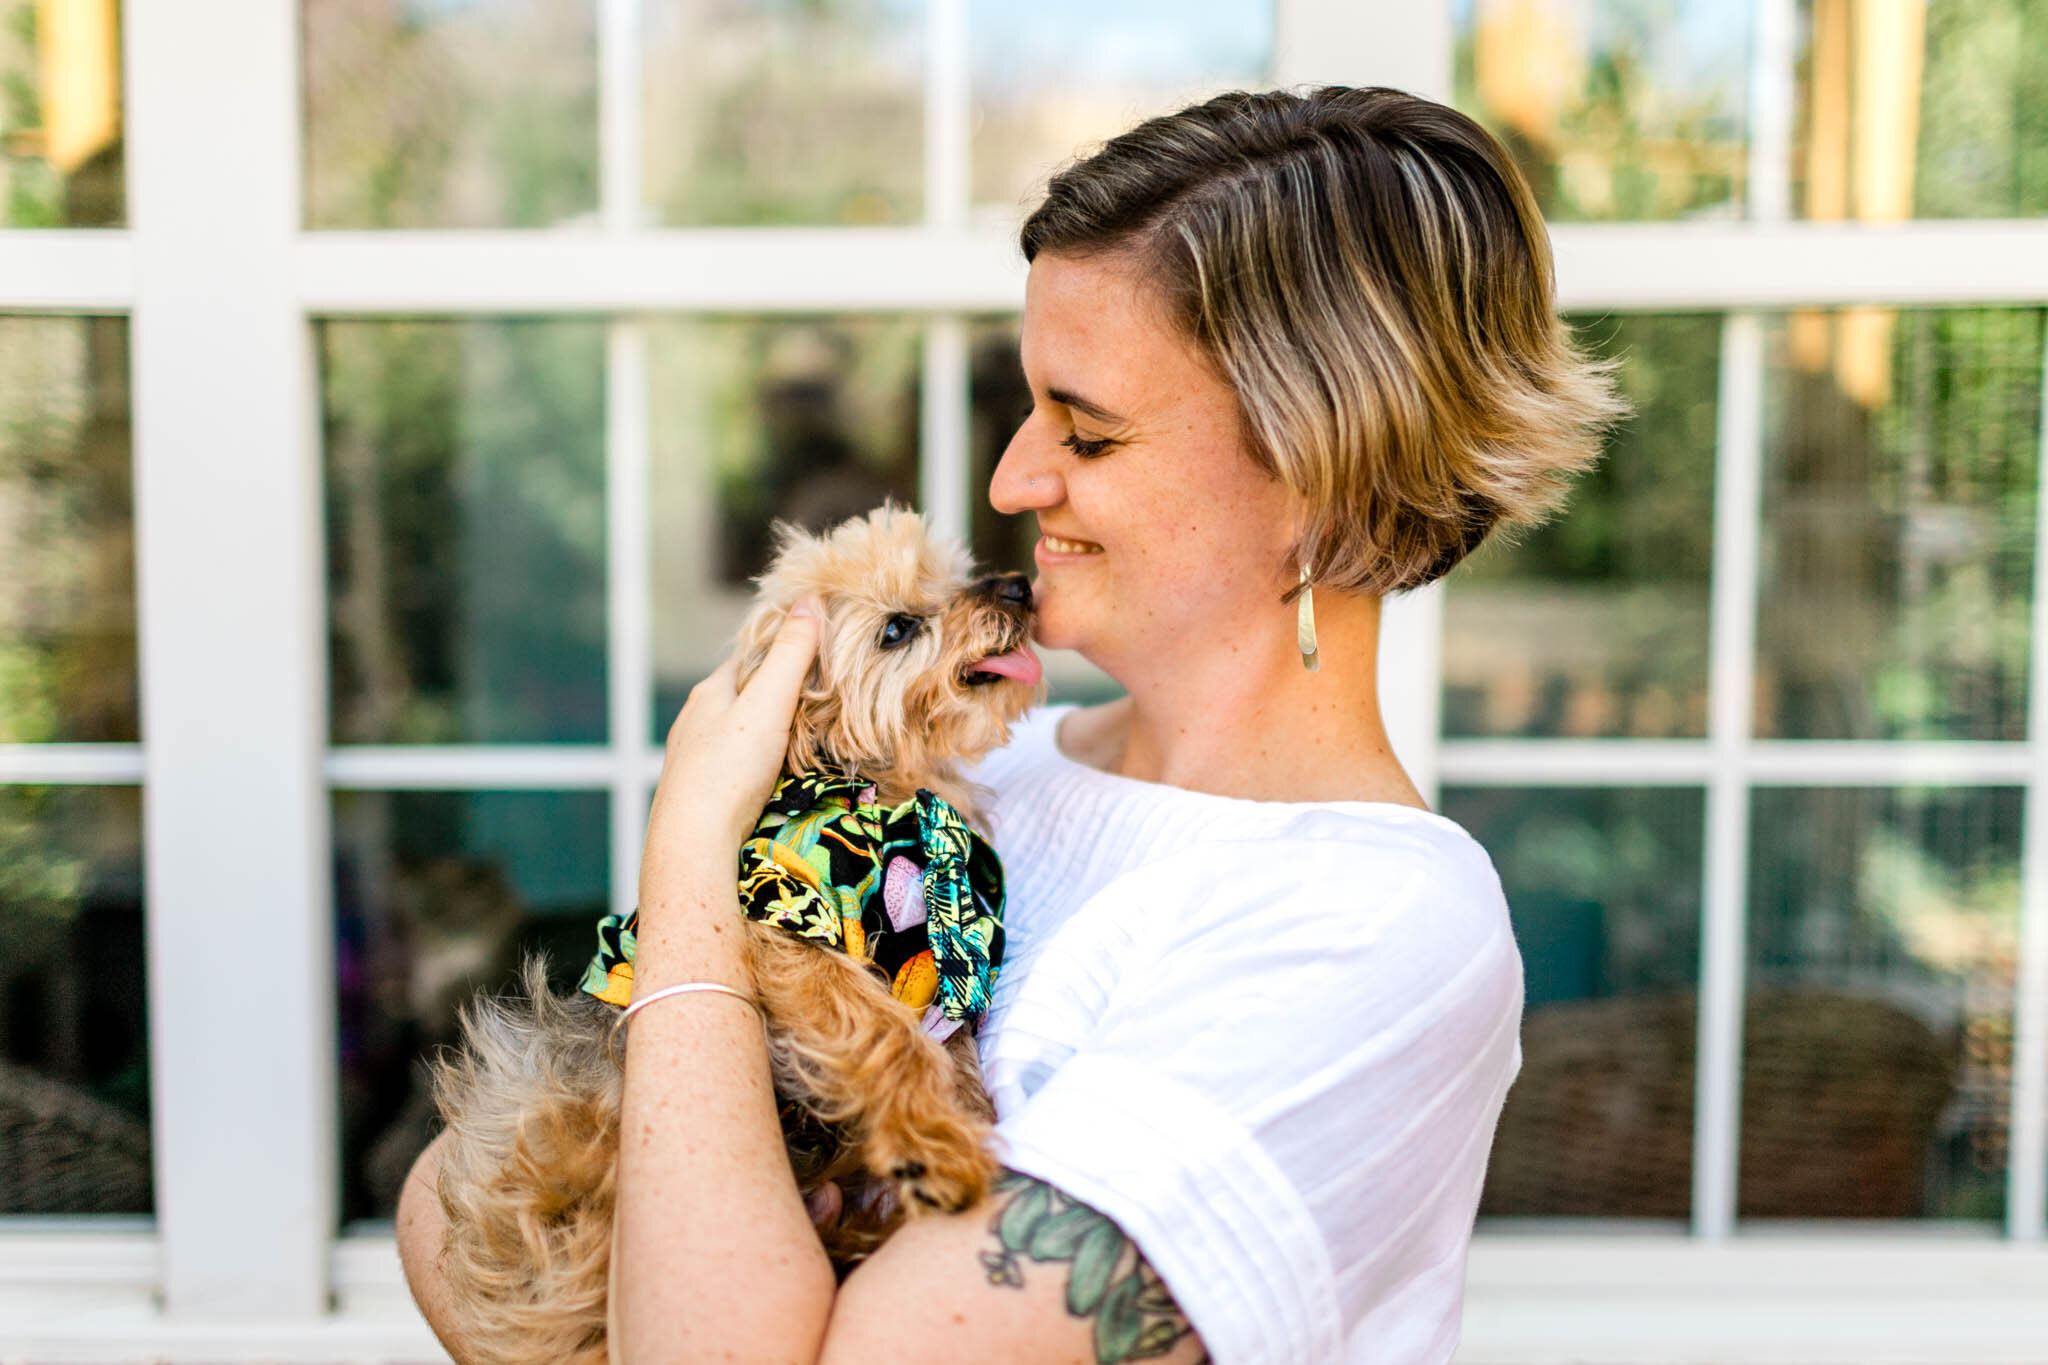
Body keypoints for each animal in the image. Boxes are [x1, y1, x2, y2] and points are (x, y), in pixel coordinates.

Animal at [428, 509, 1040, 1365]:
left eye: (958, 573)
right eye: (897, 628)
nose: (1018, 586)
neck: (887, 789)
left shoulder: (938, 962)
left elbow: (946, 1051)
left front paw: (955, 1122)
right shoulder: (787, 924)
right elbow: (888, 1035)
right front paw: (934, 1142)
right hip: (571, 1146)